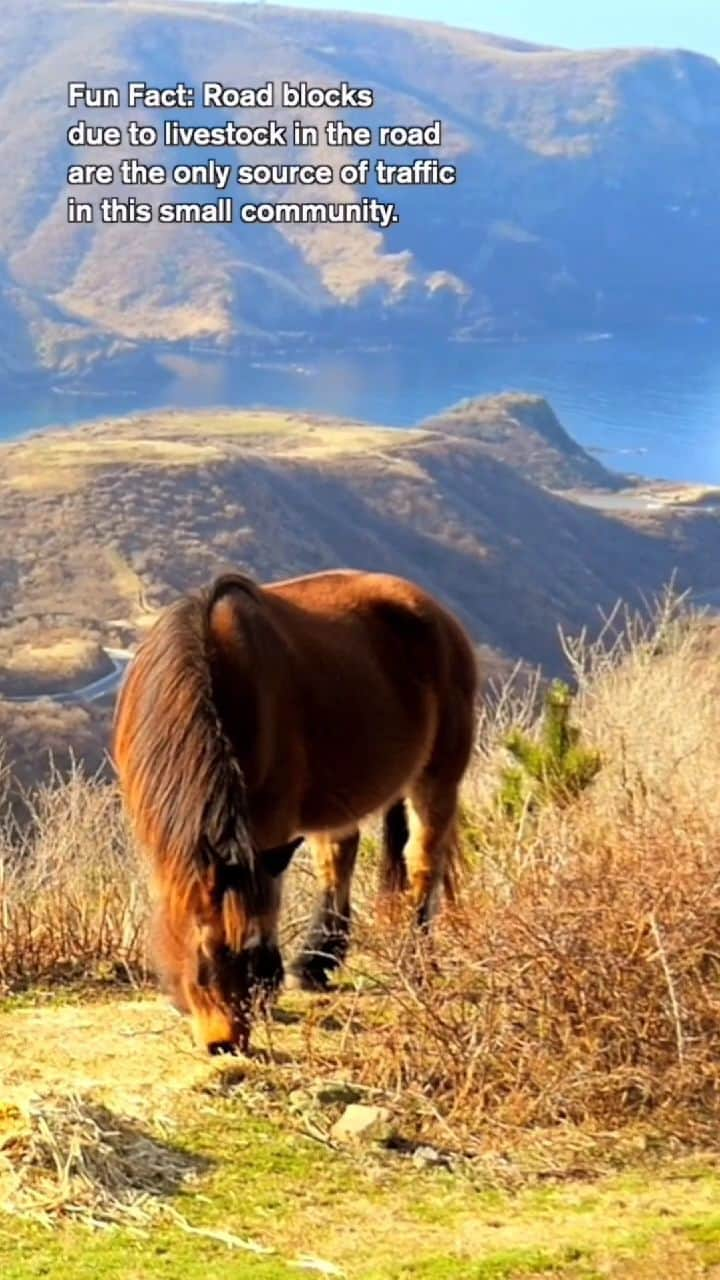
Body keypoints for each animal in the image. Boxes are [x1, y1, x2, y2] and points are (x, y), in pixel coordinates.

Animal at [112, 570, 476, 1049]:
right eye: (203, 951)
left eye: (250, 952)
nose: (225, 1040)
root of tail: (437, 614)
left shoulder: (271, 820)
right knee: (339, 856)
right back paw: (317, 962)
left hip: (437, 778)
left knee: (422, 863)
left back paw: (415, 961)